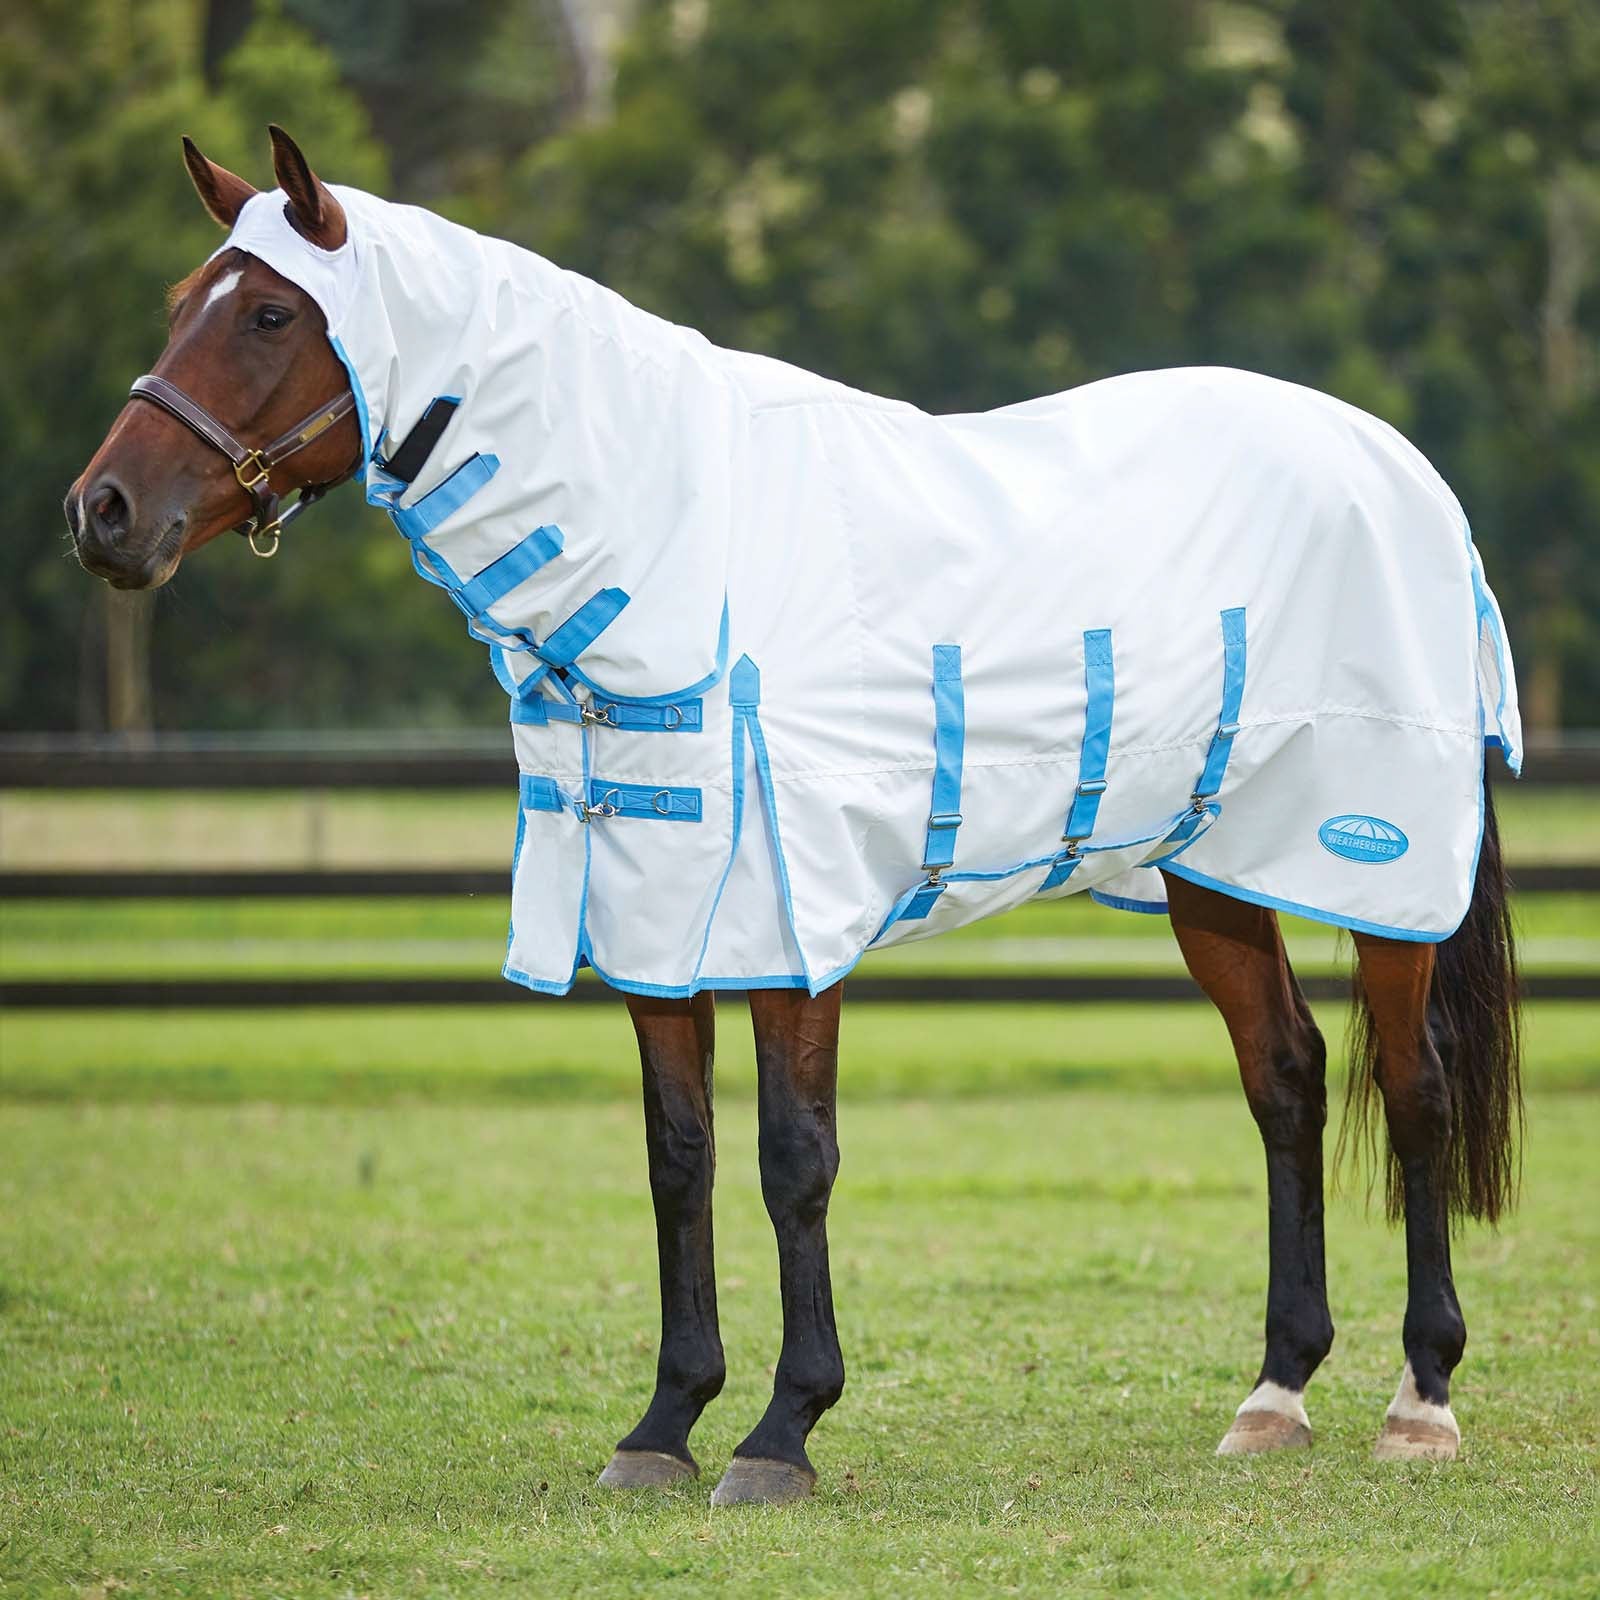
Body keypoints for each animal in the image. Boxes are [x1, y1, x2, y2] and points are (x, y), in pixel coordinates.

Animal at [67, 127, 1522, 1506]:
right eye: (183, 298)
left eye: (269, 314)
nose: (103, 512)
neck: (676, 543)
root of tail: (1406, 475)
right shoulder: (654, 916)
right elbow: (679, 1157)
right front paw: (663, 1424)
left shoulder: (787, 922)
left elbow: (791, 1157)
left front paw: (782, 1432)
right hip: (1213, 870)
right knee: (1285, 1076)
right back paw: (1274, 1392)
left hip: (1377, 874)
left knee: (1413, 1088)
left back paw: (1422, 1400)